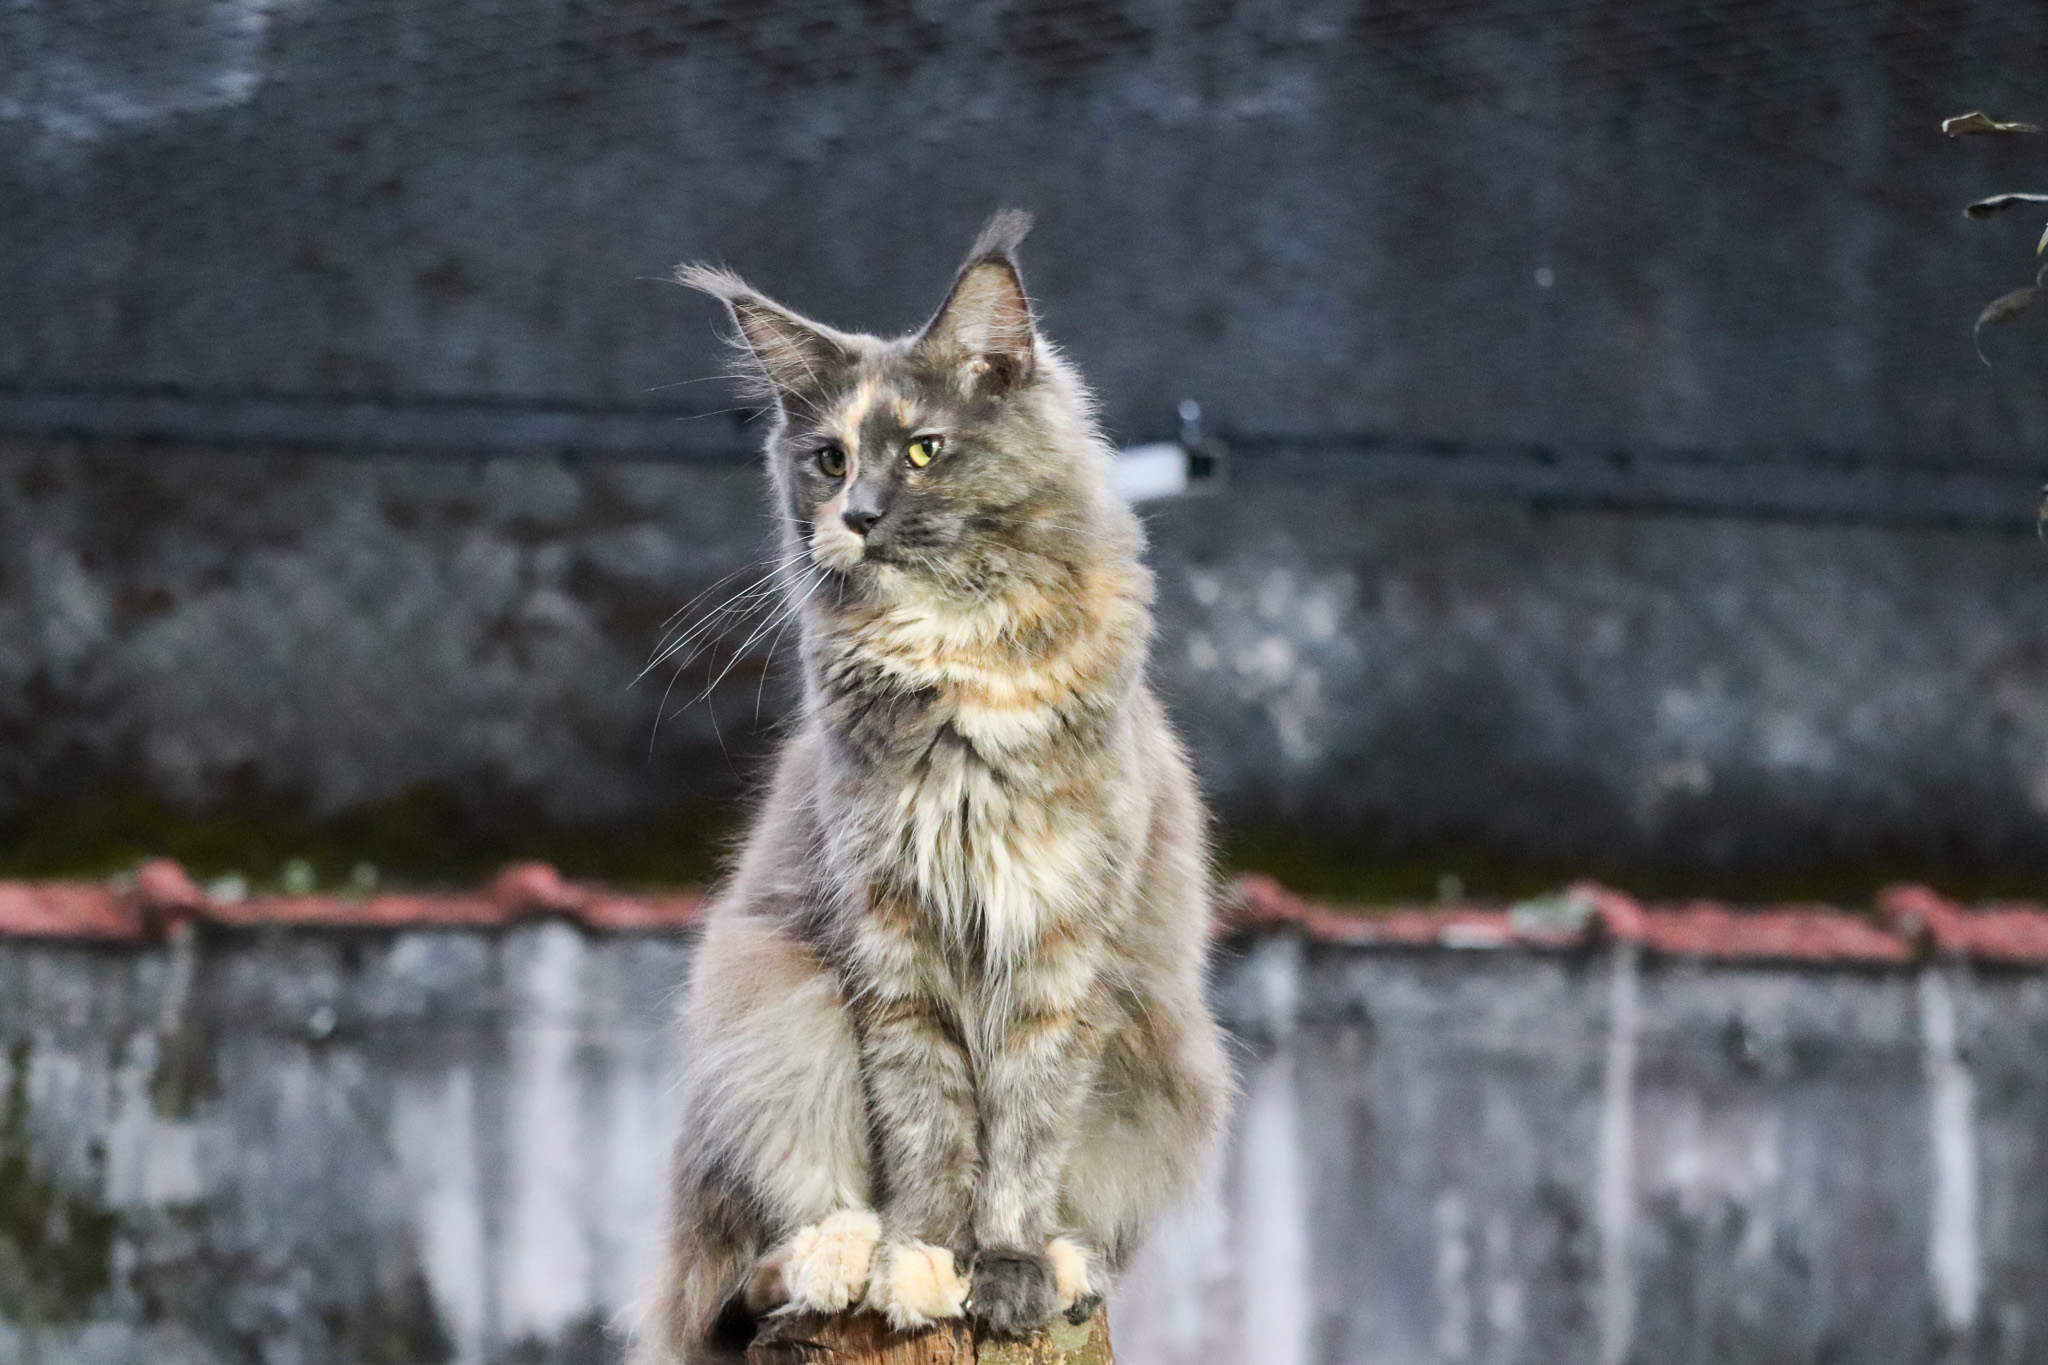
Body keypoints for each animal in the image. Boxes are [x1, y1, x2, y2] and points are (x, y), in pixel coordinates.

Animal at [638, 213, 1220, 1365]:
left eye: (921, 449)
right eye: (827, 460)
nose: (858, 514)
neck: (956, 660)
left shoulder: (1060, 941)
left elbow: (1026, 1132)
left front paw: (1007, 1269)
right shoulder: (891, 938)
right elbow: (930, 1119)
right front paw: (922, 1262)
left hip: (1166, 1060)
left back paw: (1064, 1263)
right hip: (774, 1005)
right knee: (743, 1278)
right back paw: (840, 1254)